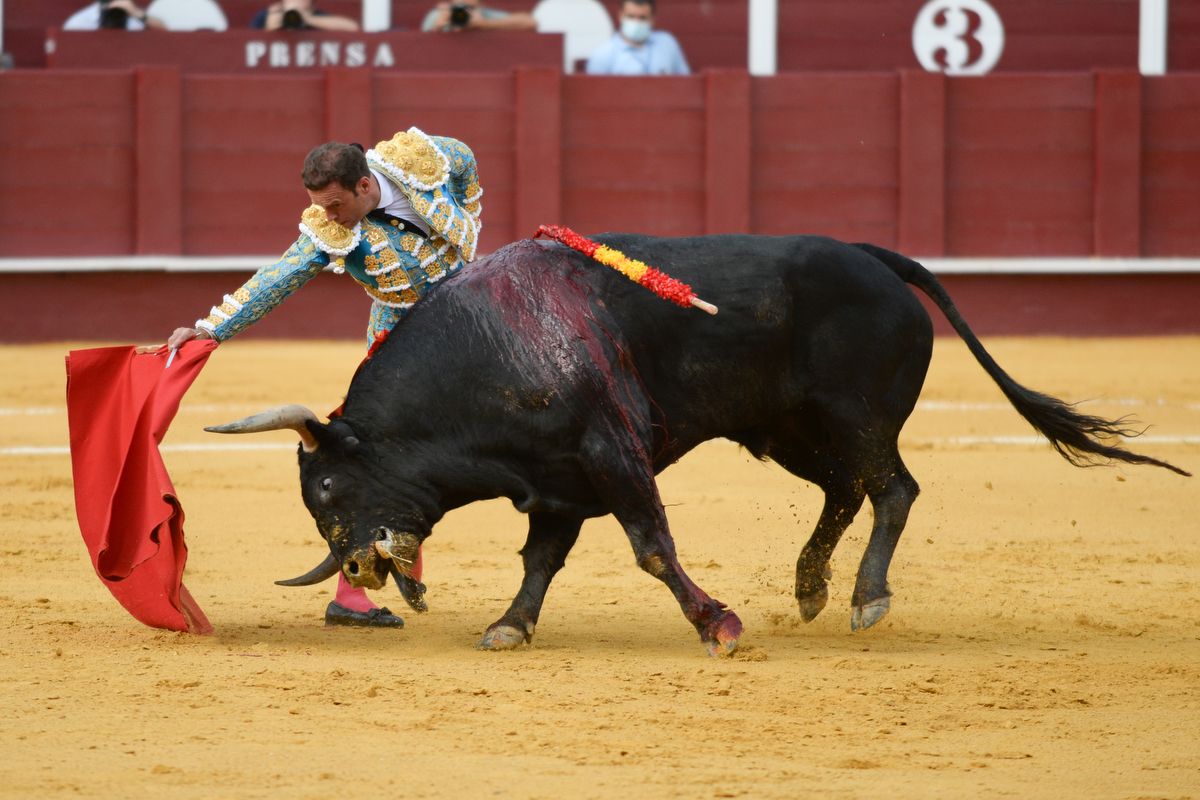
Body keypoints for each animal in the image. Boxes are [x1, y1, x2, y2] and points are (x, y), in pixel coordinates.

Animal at [208, 232, 1190, 657]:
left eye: (327, 492)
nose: (359, 569)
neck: (488, 356)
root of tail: (875, 257)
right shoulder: (558, 480)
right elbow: (541, 559)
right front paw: (510, 625)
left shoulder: (610, 456)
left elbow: (650, 545)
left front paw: (718, 622)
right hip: (785, 428)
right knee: (846, 492)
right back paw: (811, 587)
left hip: (856, 415)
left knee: (893, 489)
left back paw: (865, 598)